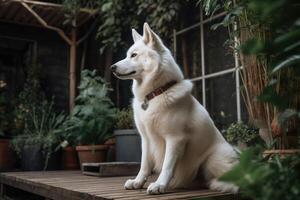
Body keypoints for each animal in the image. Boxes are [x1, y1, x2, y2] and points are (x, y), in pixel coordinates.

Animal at [111, 22, 238, 195]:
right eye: (127, 55)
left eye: (134, 55)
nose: (112, 67)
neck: (155, 93)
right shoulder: (146, 139)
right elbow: (144, 164)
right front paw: (137, 182)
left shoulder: (174, 139)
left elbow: (167, 165)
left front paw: (159, 185)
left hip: (213, 159)